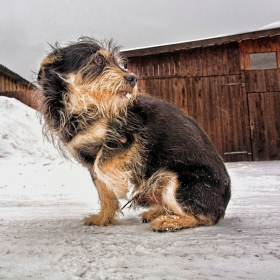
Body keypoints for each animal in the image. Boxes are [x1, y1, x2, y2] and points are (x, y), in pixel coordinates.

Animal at [37, 36, 230, 232]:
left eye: (119, 63)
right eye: (99, 60)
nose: (133, 78)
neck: (84, 110)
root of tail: (222, 205)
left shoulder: (127, 138)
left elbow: (103, 166)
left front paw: (119, 185)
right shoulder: (87, 156)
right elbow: (102, 187)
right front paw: (104, 218)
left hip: (177, 181)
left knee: (203, 217)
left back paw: (168, 221)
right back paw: (157, 212)